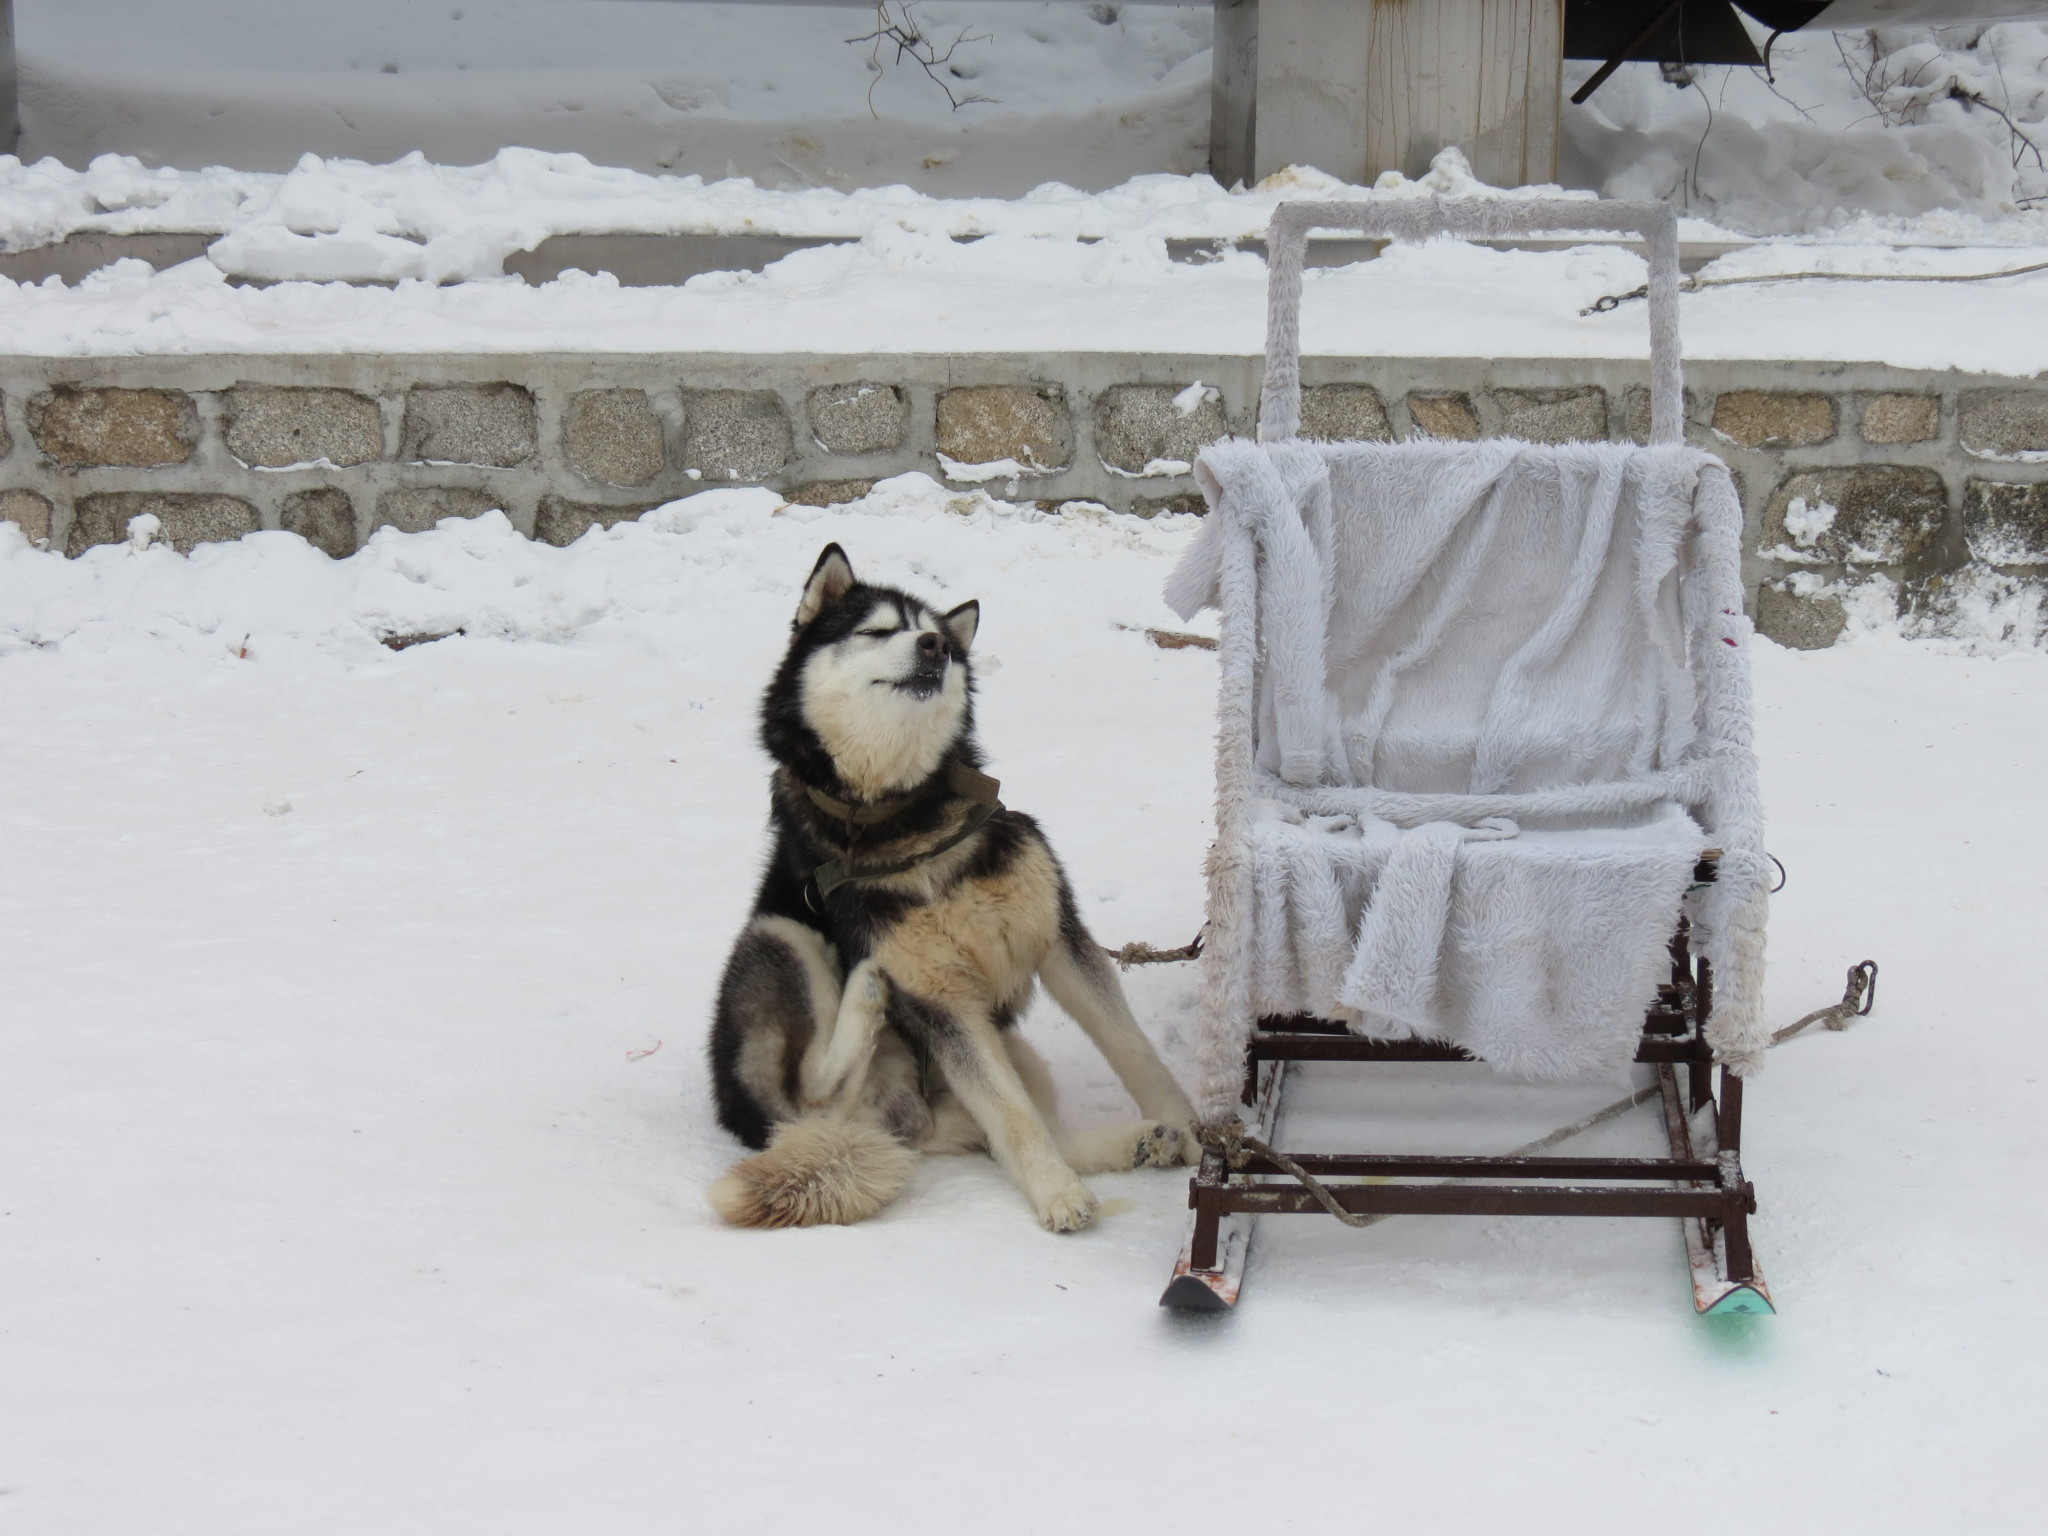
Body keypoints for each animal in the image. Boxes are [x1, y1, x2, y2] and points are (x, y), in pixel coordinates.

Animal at [712, 548, 1204, 1236]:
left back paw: (1140, 1140)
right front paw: (1058, 1194)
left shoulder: (1058, 937)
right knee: (813, 1096)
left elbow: (1131, 1051)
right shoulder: (941, 998)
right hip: (780, 936)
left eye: (936, 635)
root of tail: (895, 1125)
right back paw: (865, 996)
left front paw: (1191, 1128)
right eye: (876, 630)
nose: (935, 646)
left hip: (1010, 1049)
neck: (907, 816)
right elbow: (1011, 1116)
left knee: (1006, 1129)